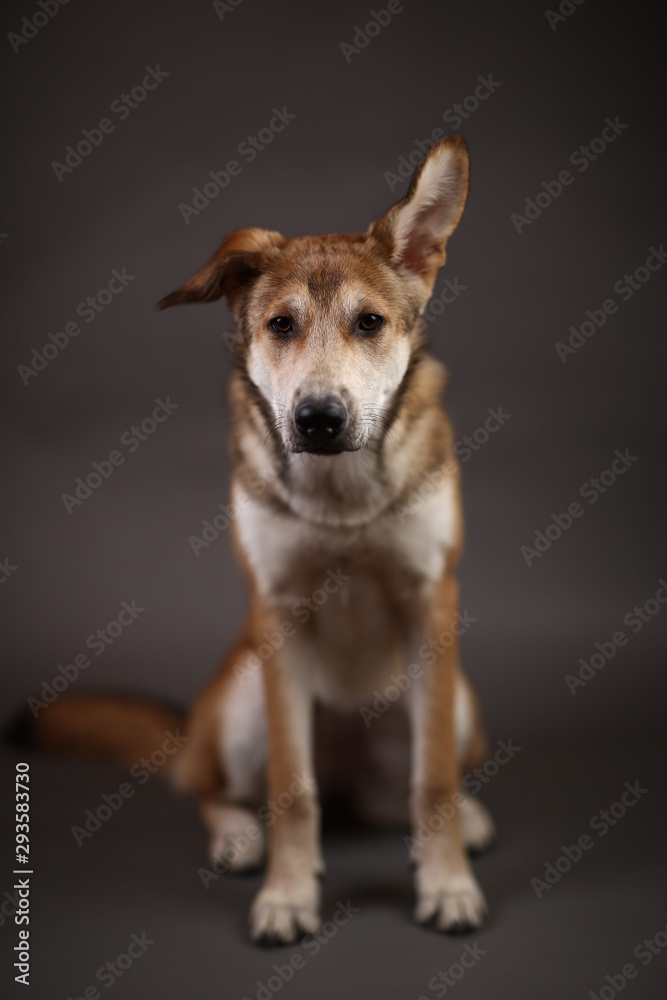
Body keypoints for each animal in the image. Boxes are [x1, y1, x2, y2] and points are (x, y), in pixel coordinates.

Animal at [18, 135, 496, 944]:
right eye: (280, 325)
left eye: (370, 323)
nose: (319, 419)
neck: (340, 500)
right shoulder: (279, 610)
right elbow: (291, 787)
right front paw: (286, 896)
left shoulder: (430, 597)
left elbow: (429, 779)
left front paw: (448, 884)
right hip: (241, 700)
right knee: (222, 790)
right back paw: (240, 834)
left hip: (451, 696)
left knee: (410, 787)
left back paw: (466, 817)